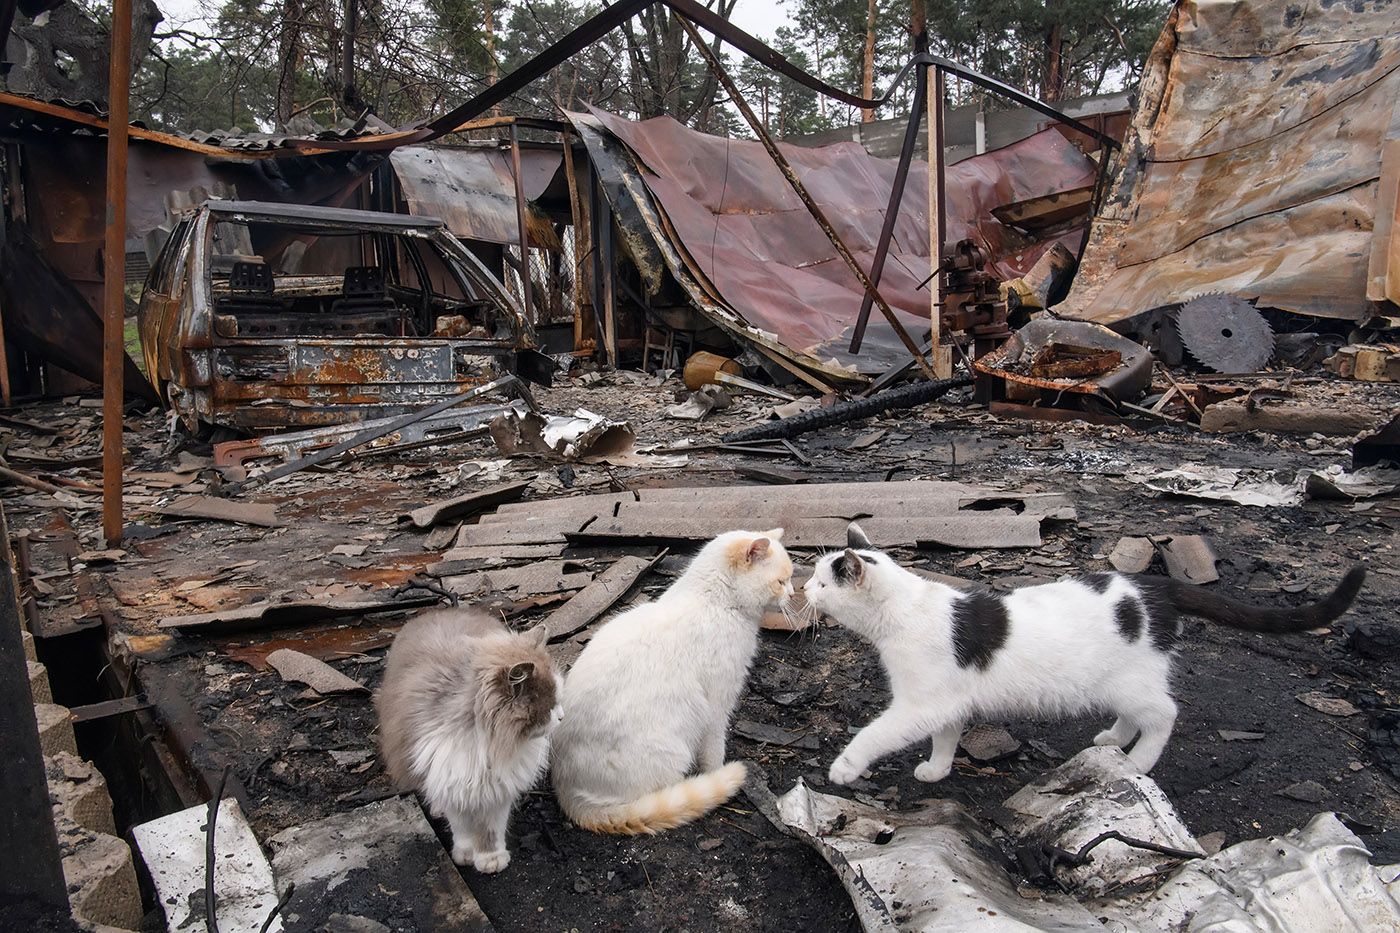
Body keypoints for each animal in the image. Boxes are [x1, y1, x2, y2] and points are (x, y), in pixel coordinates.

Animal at [546, 526, 795, 829]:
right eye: (781, 581)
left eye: (790, 579)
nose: (793, 594)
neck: (715, 602)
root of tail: (564, 787)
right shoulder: (717, 705)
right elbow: (714, 750)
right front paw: (716, 773)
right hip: (673, 751)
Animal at [806, 523, 1360, 784]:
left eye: (821, 581)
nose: (804, 589)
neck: (904, 611)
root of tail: (1156, 585)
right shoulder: (946, 702)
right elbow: (946, 738)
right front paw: (938, 770)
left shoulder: (919, 703)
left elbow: (876, 734)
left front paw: (845, 768)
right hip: (1116, 682)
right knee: (1138, 714)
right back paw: (1113, 739)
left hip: (1133, 681)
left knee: (1165, 713)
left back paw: (1138, 761)